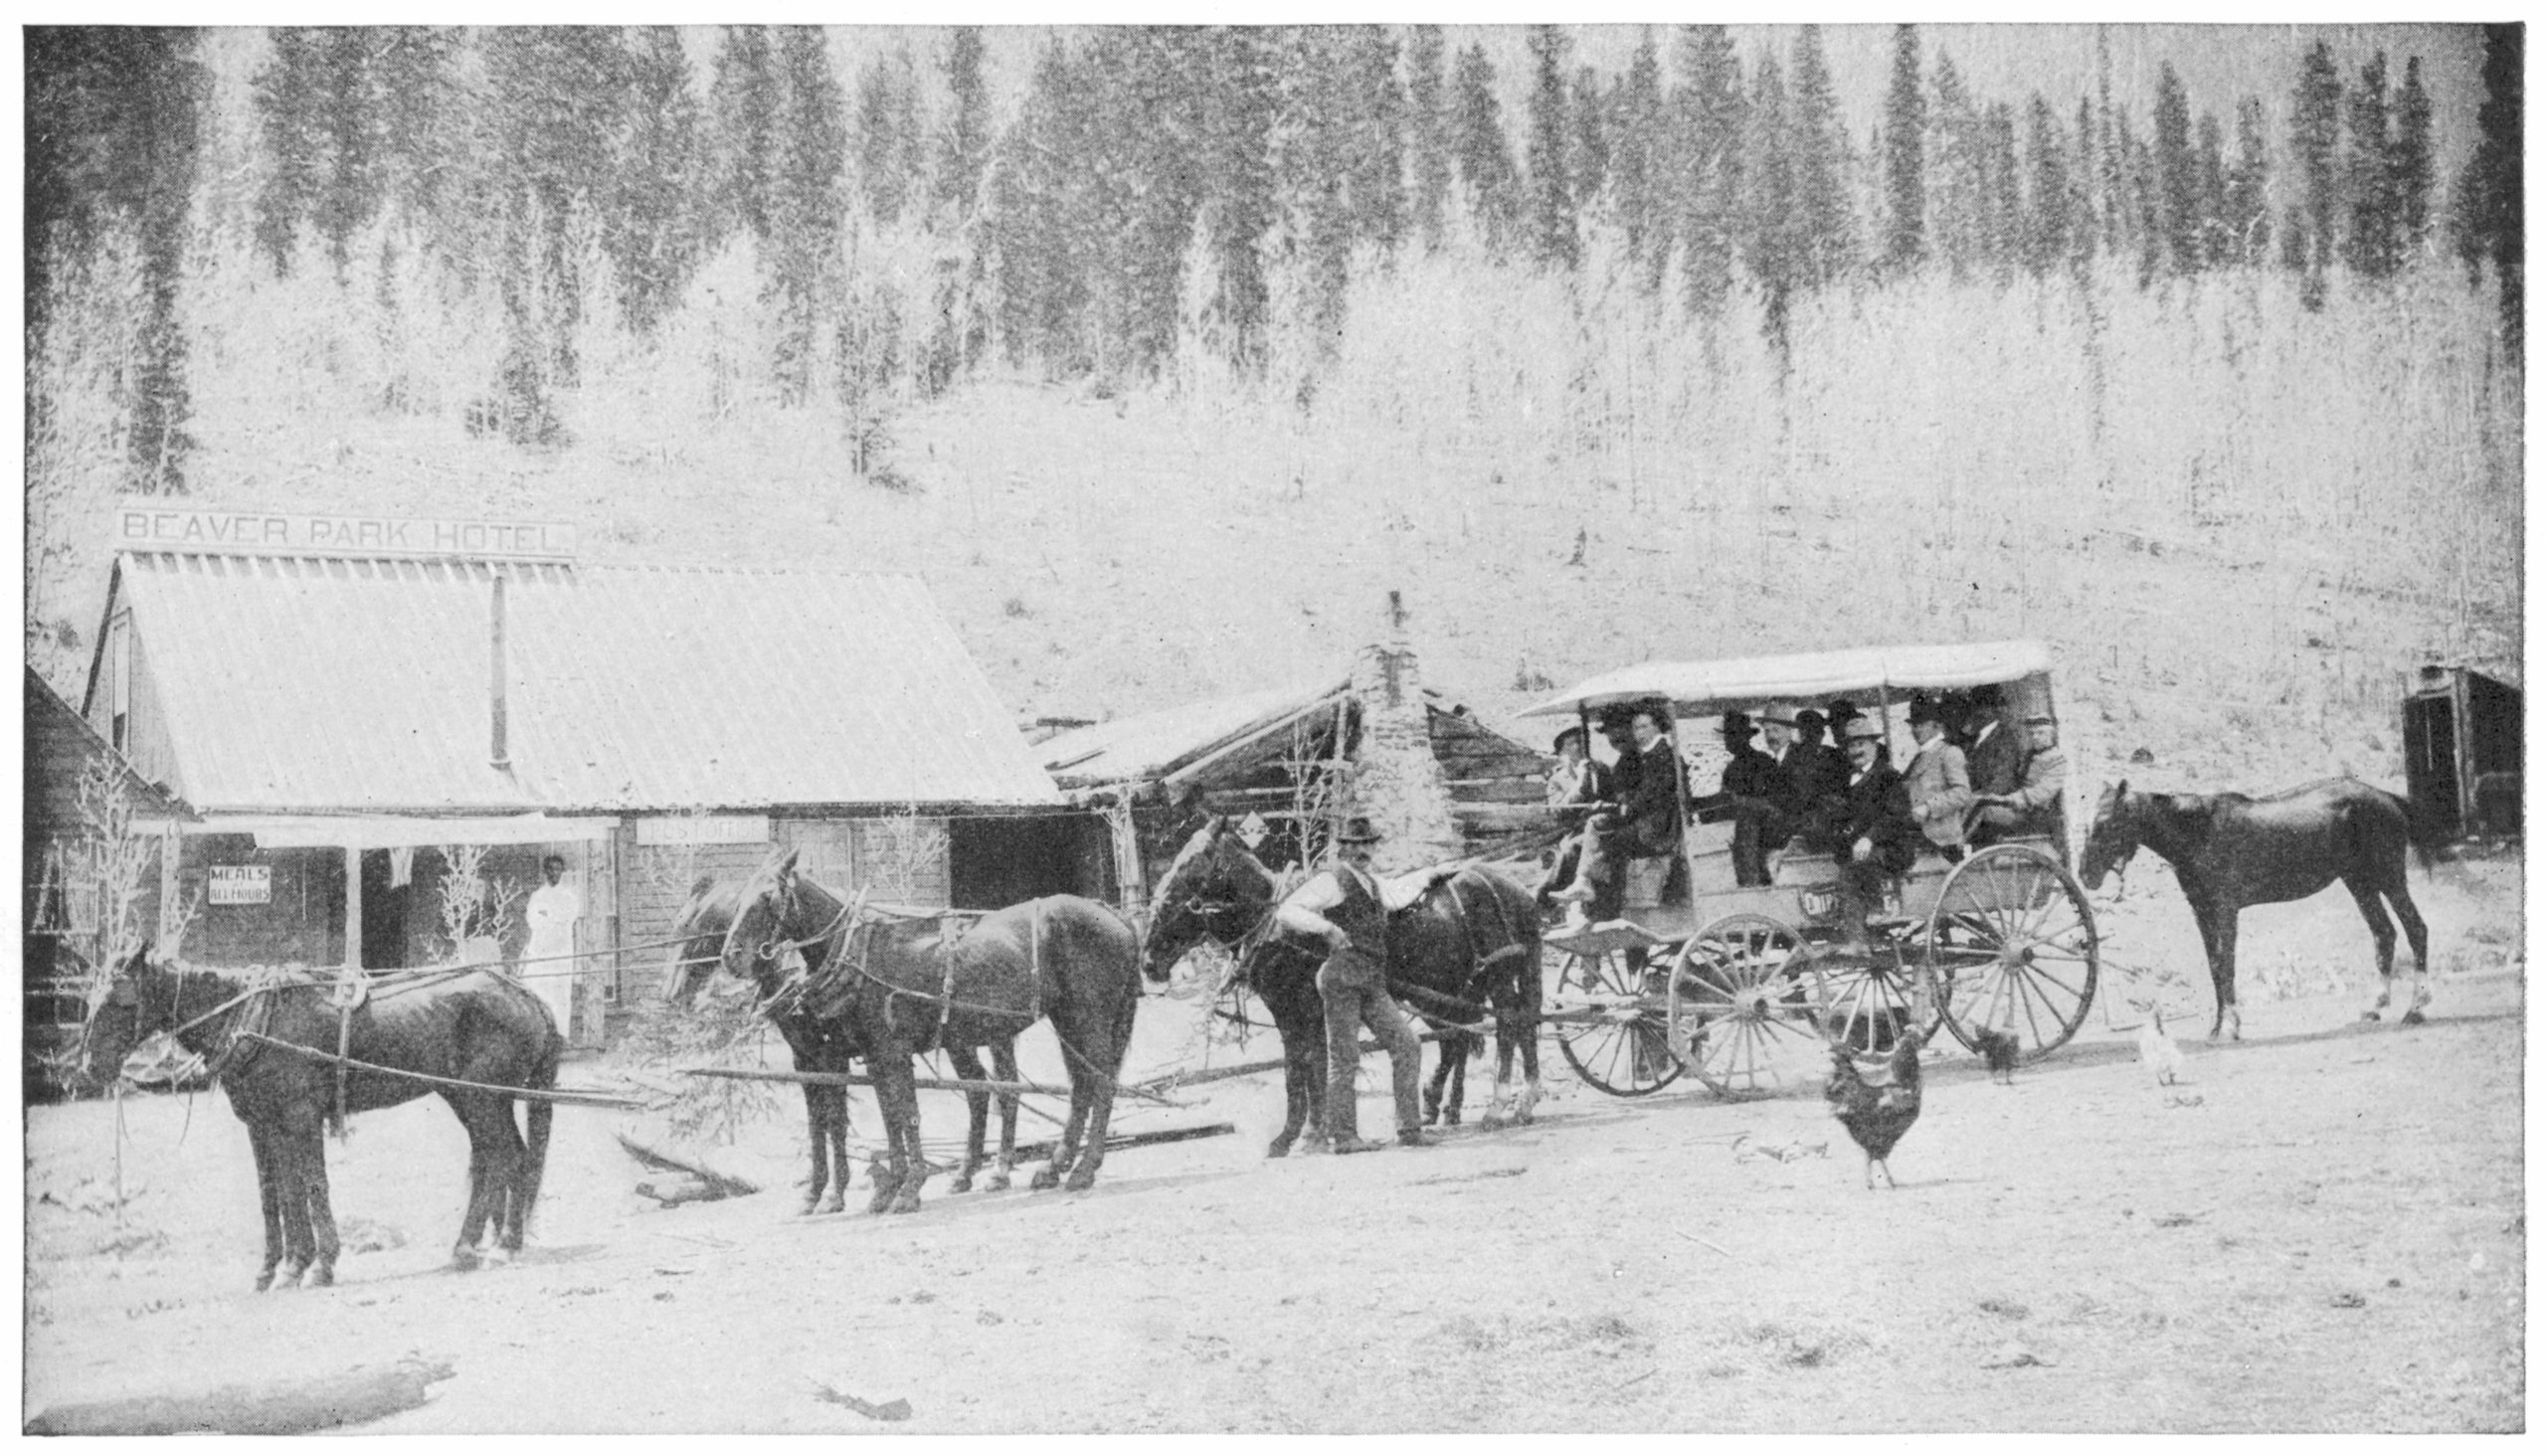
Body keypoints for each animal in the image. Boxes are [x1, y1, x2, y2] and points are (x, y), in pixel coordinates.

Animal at [80, 952, 557, 1293]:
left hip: (483, 1099)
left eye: (120, 999)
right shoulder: (263, 1123)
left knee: (505, 1158)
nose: (88, 1066)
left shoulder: (300, 1115)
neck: (255, 1019)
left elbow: (310, 1185)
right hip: (469, 1098)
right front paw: (279, 1267)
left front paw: (319, 1264)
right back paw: (494, 1243)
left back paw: (485, 1247)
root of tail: (524, 994)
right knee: (504, 1159)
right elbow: (276, 1194)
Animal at [661, 875, 1028, 1206]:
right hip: (963, 1039)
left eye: (693, 929)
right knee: (981, 1091)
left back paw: (998, 1171)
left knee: (1004, 1091)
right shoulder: (805, 1058)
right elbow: (818, 1123)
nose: (671, 994)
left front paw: (835, 1193)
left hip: (987, 1035)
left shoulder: (831, 1055)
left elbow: (835, 1121)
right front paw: (818, 1191)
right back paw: (967, 1174)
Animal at [723, 844, 1151, 1211]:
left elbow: (901, 1115)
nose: (730, 957)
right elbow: (885, 1118)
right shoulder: (862, 1057)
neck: (858, 953)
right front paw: (886, 1187)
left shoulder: (883, 1052)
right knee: (1076, 1086)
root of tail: (1113, 913)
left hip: (1089, 1018)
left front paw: (906, 1188)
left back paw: (1080, 1169)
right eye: (737, 899)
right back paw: (1051, 1167)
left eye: (767, 897)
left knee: (1099, 1084)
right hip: (1063, 1020)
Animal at [1146, 815, 1538, 1155]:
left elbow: (1309, 1066)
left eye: (1192, 865)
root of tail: (1514, 889)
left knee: (1508, 1025)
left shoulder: (1306, 1010)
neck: (1279, 928)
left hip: (1495, 977)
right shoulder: (1289, 1014)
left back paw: (1498, 1106)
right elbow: (1299, 1069)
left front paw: (1306, 1134)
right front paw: (1300, 1135)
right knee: (1479, 1033)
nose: (1149, 959)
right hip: (1449, 990)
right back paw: (1485, 1104)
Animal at [2088, 779, 2444, 1038]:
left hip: (2389, 878)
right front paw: (2216, 1028)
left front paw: (2232, 1024)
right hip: (2359, 882)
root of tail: (2388, 797)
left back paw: (2416, 1009)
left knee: (2416, 929)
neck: (2200, 831)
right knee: (2384, 935)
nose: (2086, 875)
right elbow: (2214, 967)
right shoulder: (2201, 913)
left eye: (2106, 822)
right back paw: (2375, 1007)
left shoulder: (2226, 910)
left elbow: (2227, 966)